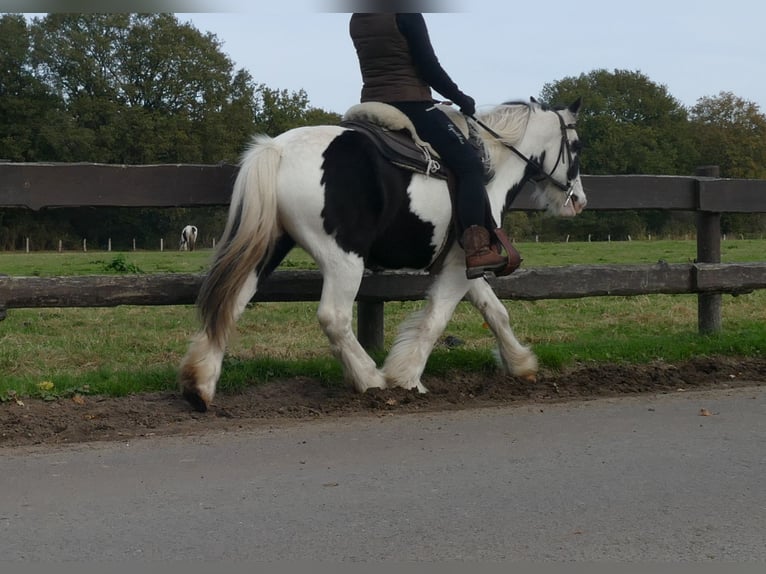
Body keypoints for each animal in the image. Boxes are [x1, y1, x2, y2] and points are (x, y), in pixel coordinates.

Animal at [180, 100, 588, 414]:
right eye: (577, 146)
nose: (579, 201)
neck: (490, 169)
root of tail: (278, 150)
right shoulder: (460, 266)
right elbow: (436, 320)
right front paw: (406, 378)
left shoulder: (461, 266)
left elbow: (495, 312)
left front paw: (521, 364)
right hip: (344, 260)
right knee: (334, 318)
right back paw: (370, 378)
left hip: (270, 247)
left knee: (230, 303)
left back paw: (200, 385)